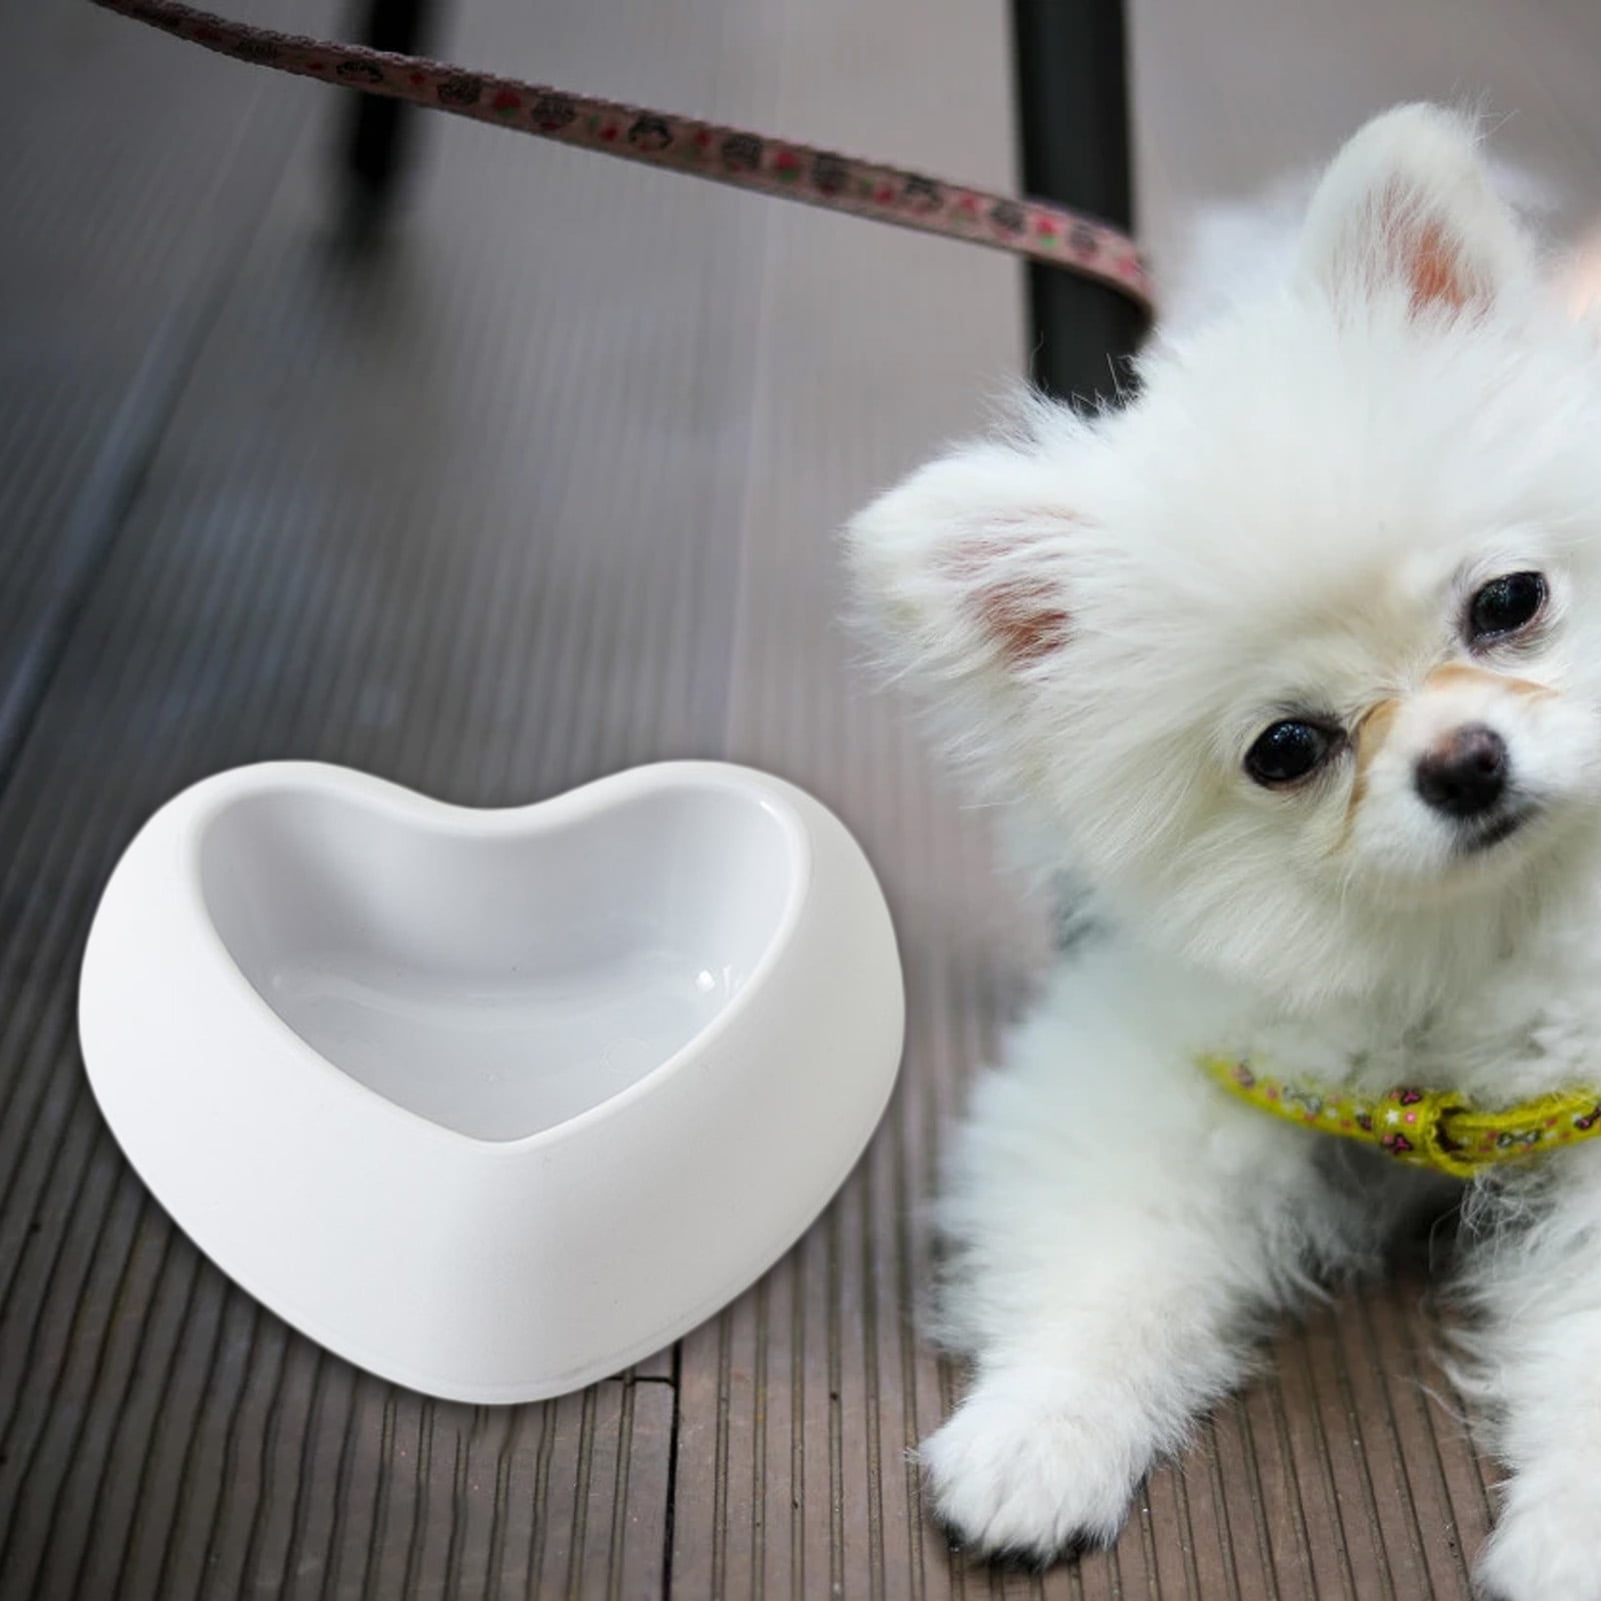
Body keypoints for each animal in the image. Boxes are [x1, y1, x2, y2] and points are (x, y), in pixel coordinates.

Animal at [851, 106, 1601, 1594]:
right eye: (1286, 748)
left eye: (1508, 601)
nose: (1463, 760)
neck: (1456, 940)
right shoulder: (1168, 1055)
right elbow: (1107, 1259)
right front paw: (1036, 1437)